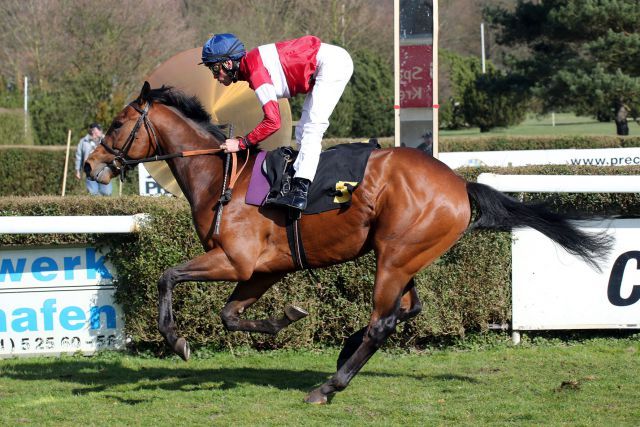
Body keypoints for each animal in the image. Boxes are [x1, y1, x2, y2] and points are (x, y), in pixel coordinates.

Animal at [84, 83, 608, 404]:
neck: (221, 177)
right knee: (407, 310)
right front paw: (285, 317)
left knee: (383, 322)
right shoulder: (263, 269)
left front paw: (177, 340)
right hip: (404, 255)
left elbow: (166, 276)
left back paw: (329, 384)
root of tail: (460, 184)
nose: (90, 166)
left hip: (395, 257)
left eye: (117, 123)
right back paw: (342, 354)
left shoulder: (235, 260)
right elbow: (230, 315)